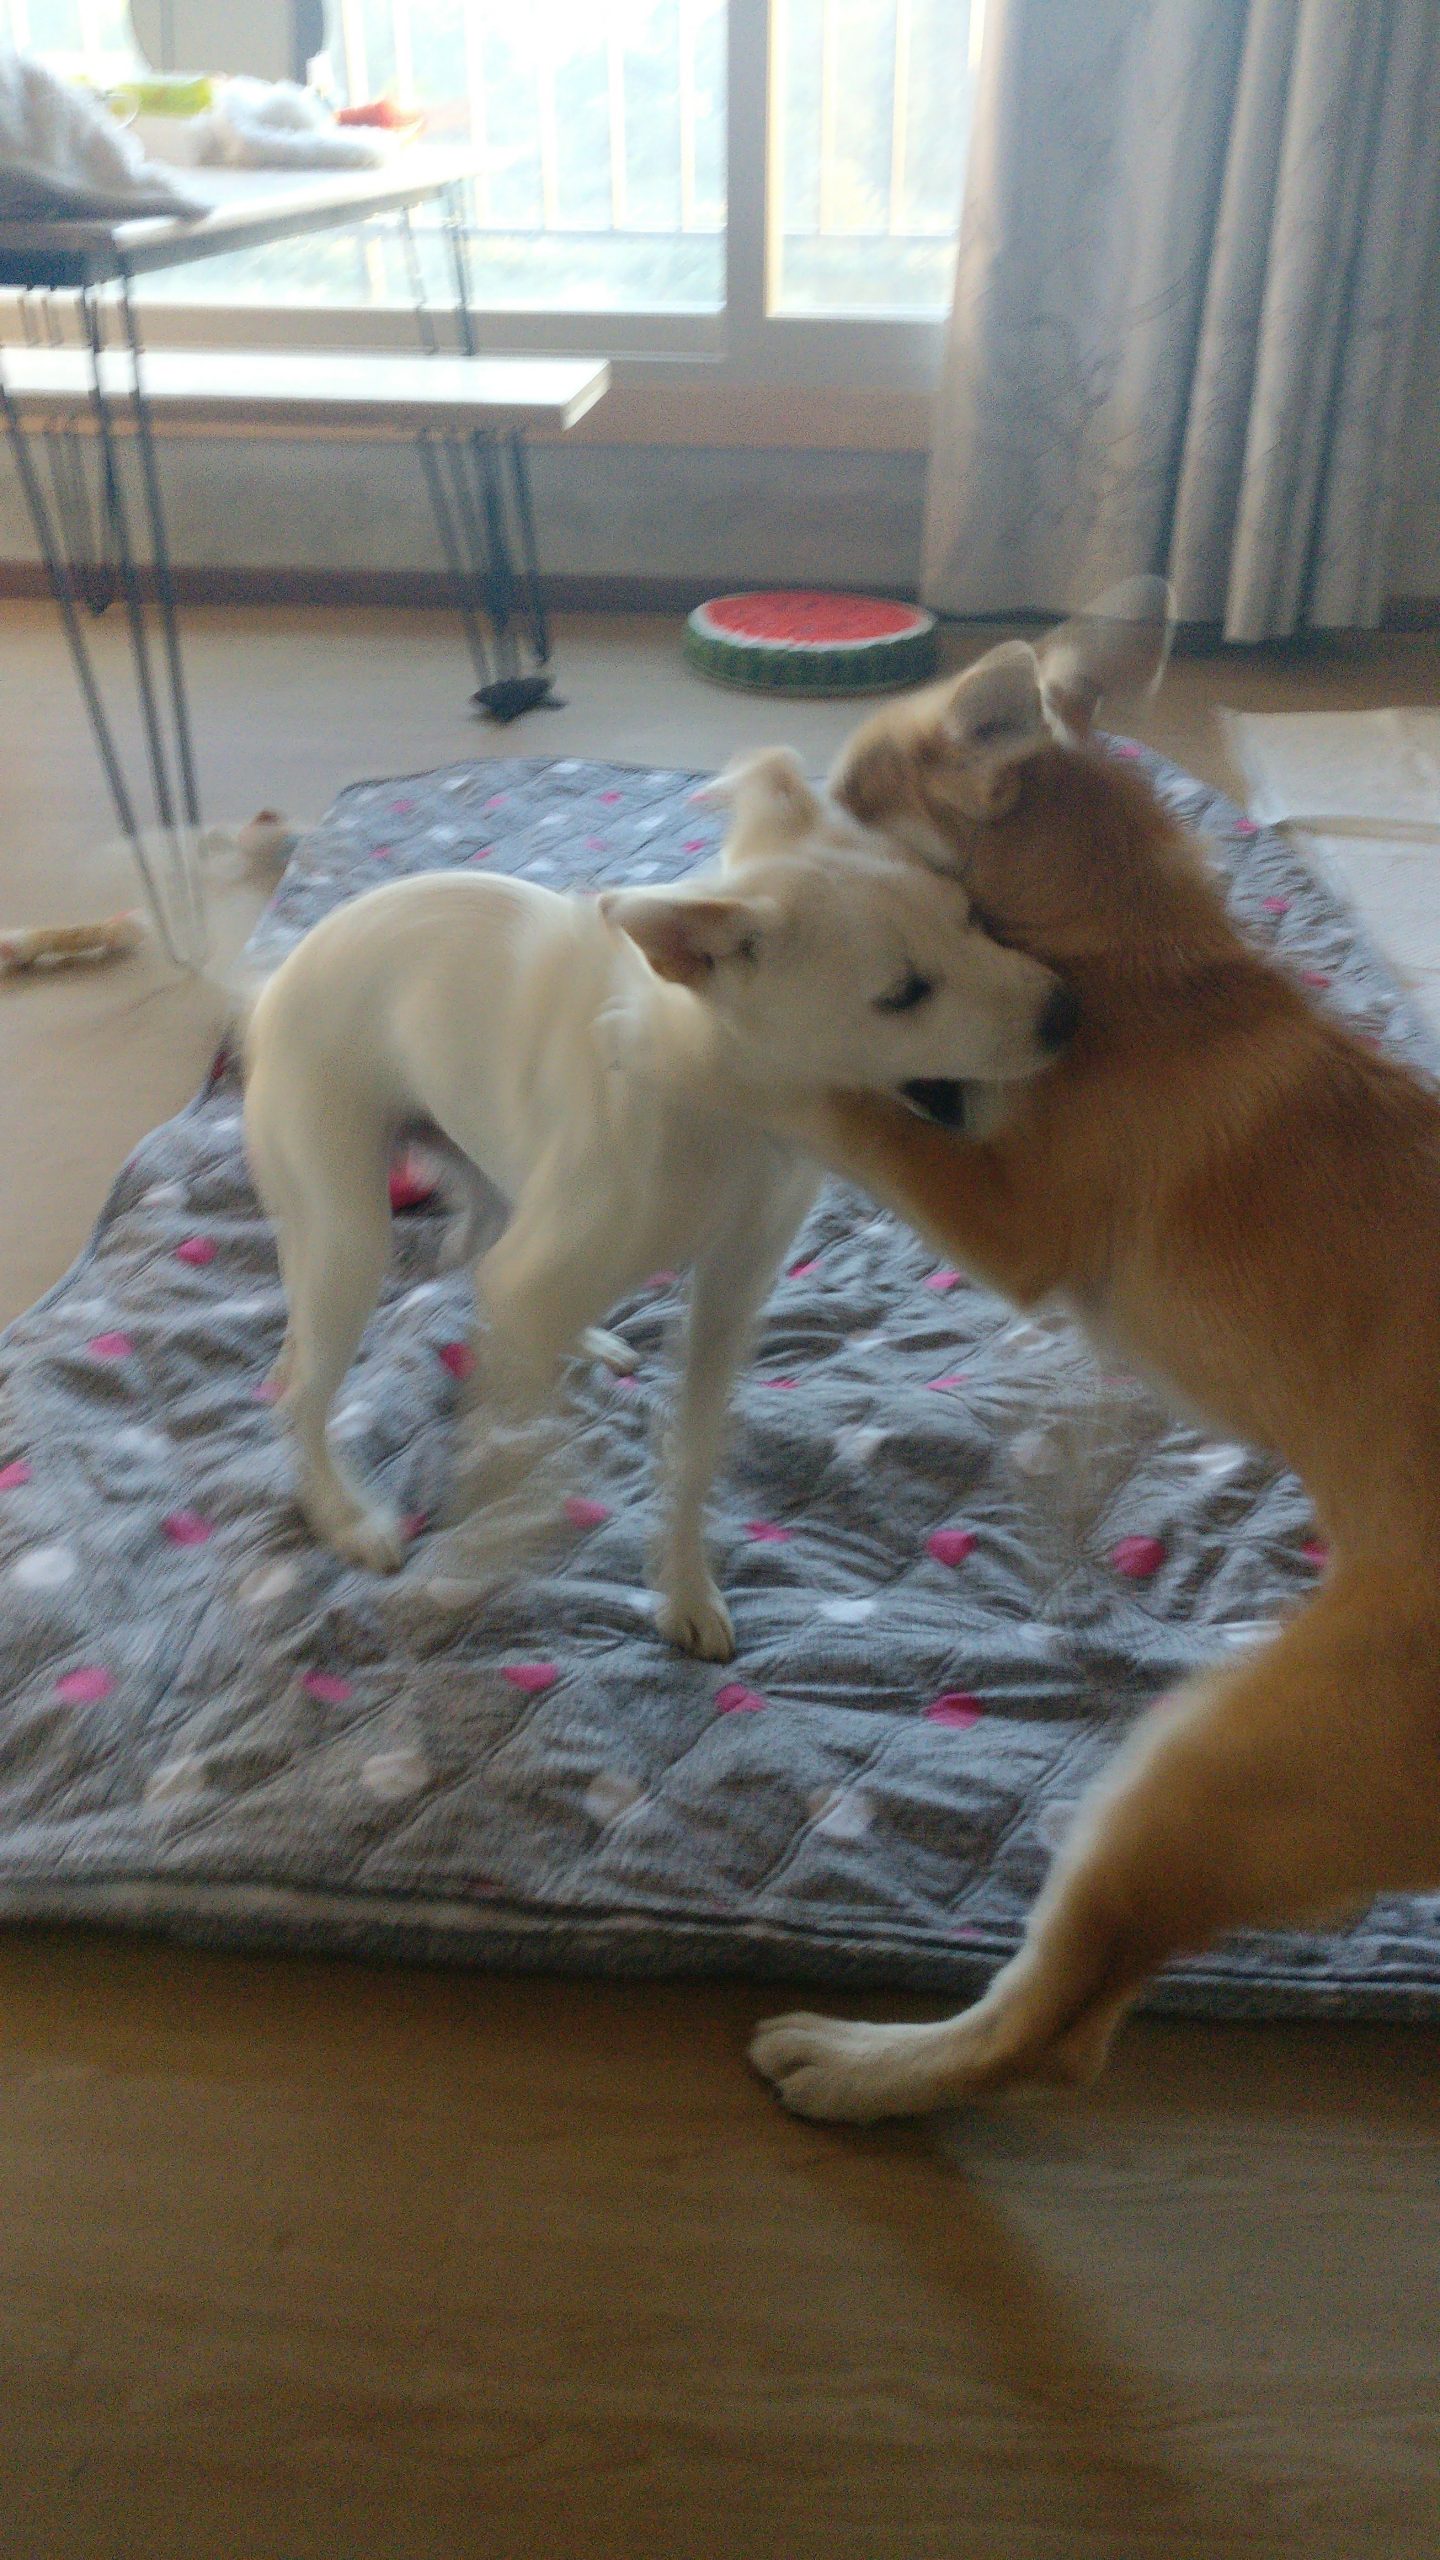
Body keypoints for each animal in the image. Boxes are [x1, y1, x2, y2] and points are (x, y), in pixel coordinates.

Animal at [242, 746, 1071, 1662]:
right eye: (903, 994)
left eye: (971, 917)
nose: (1068, 1012)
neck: (725, 1109)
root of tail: (271, 984)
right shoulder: (547, 1282)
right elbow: (521, 1457)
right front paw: (488, 1553)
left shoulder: (733, 1288)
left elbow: (693, 1450)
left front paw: (683, 1587)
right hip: (349, 1239)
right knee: (306, 1382)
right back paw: (342, 1510)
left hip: (490, 1188)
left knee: (467, 1268)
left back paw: (579, 1338)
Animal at [750, 578, 1440, 2119]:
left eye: (849, 796)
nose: (774, 796)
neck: (1138, 965)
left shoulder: (1007, 1225)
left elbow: (862, 1102)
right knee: (1082, 2022)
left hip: (1199, 1775)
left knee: (1046, 2031)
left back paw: (861, 2068)